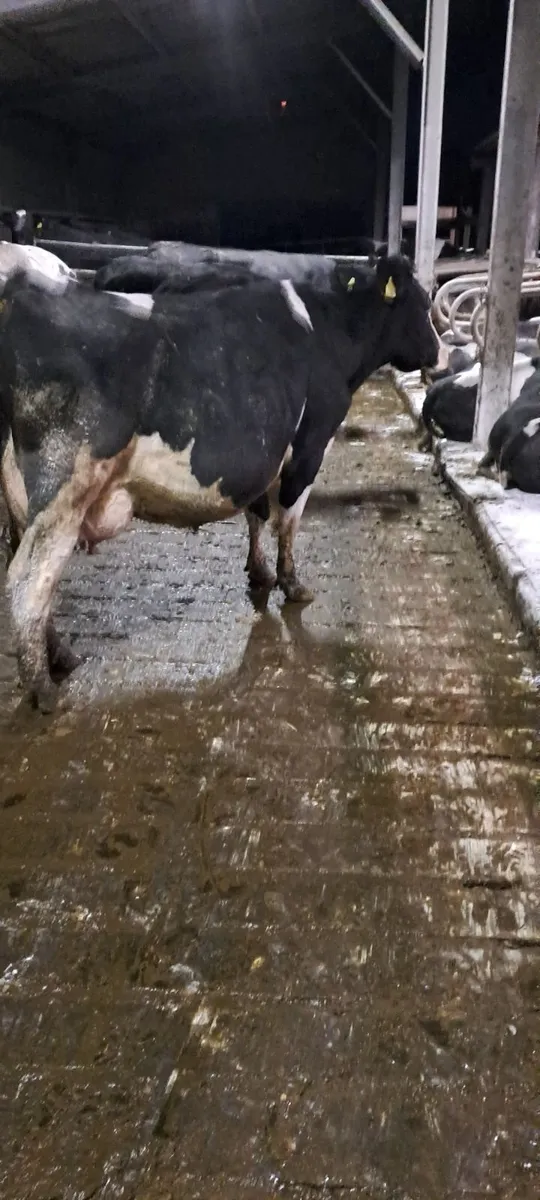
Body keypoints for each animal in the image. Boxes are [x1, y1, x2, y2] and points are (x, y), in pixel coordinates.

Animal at [0, 253, 439, 712]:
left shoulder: (264, 457)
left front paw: (259, 574)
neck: (329, 326)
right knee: (28, 580)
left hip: (22, 496)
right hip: (64, 488)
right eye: (422, 302)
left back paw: (62, 658)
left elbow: (257, 513)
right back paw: (44, 689)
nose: (437, 353)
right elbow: (288, 521)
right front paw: (293, 585)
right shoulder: (310, 445)